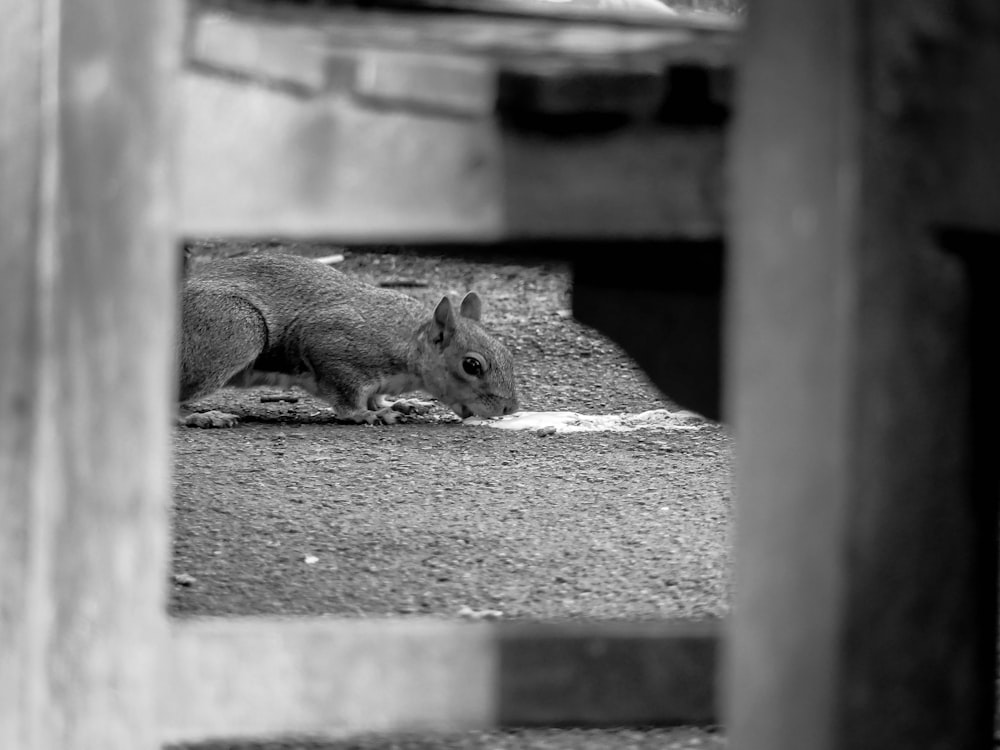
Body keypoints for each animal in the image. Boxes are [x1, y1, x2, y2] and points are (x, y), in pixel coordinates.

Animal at [180, 254, 520, 426]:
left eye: (508, 354)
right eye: (471, 365)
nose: (509, 408)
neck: (407, 341)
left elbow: (378, 395)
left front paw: (400, 403)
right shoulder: (333, 349)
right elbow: (348, 399)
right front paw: (370, 414)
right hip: (235, 331)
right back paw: (201, 417)